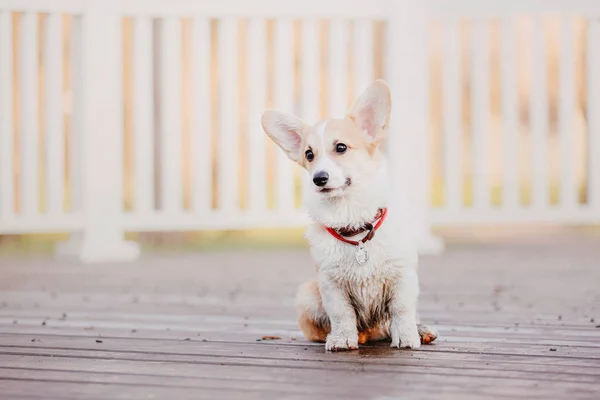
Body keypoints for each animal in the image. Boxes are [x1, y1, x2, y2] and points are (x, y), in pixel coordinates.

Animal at [260, 79, 438, 350]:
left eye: (341, 147)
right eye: (309, 155)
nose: (318, 179)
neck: (352, 221)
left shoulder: (402, 275)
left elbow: (401, 310)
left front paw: (407, 337)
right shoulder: (331, 283)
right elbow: (341, 314)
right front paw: (343, 338)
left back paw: (420, 330)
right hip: (306, 295)